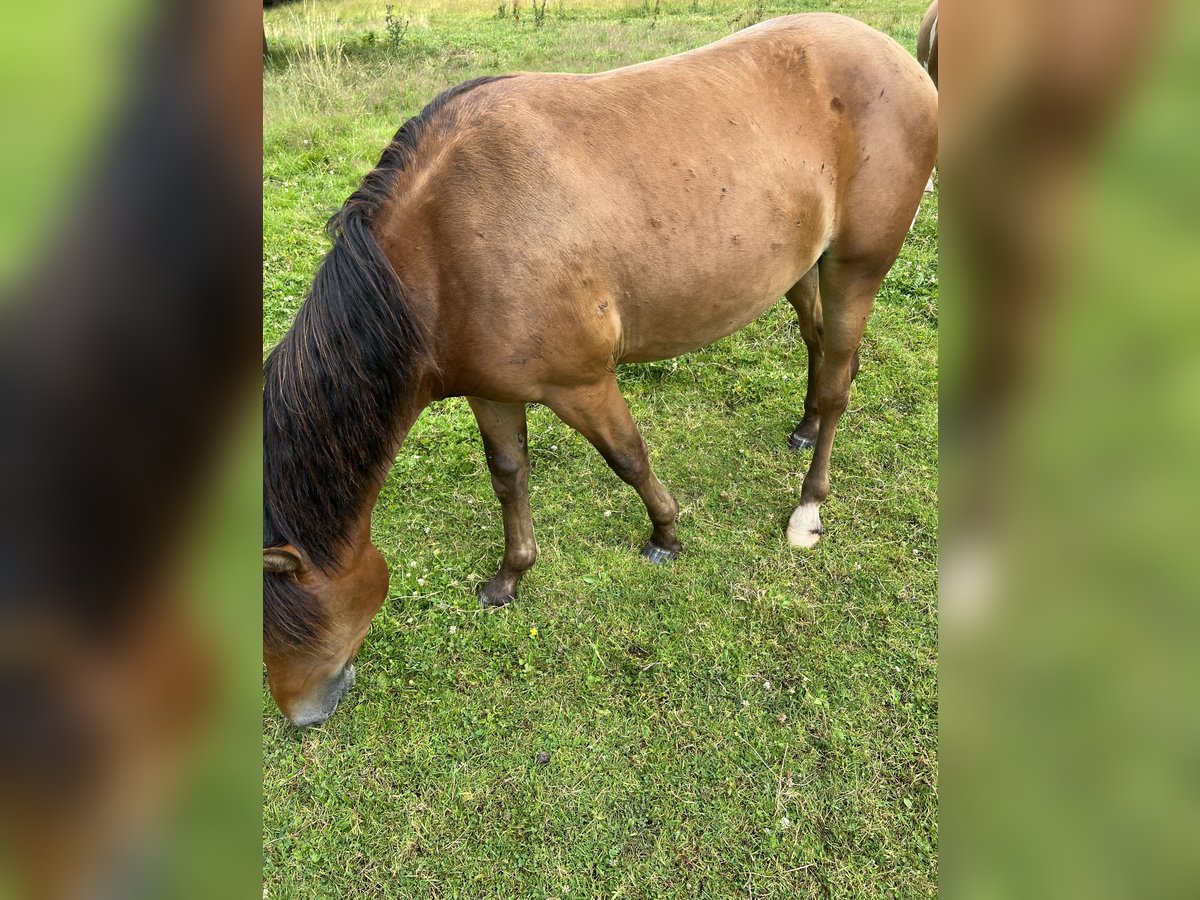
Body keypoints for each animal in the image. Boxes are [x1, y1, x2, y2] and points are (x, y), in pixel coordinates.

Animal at [262, 14, 936, 729]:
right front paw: (511, 574)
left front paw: (665, 533)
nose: (301, 715)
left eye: (288, 623)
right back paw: (803, 429)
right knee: (817, 347)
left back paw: (807, 507)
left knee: (838, 381)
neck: (442, 252)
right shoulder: (489, 391)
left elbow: (628, 456)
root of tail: (900, 59)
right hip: (805, 266)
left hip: (856, 269)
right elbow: (509, 475)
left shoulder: (580, 384)